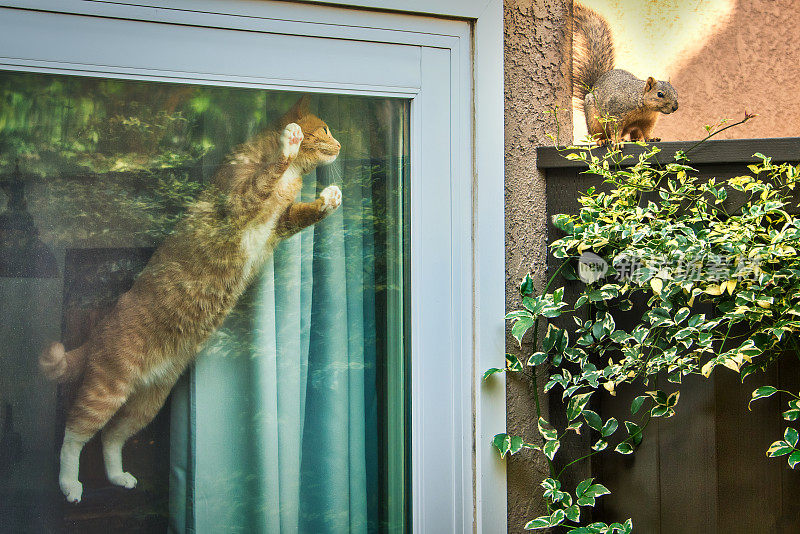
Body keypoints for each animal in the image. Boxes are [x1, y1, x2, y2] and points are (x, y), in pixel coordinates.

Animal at [39, 97, 340, 506]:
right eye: (324, 129)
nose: (340, 143)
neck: (291, 179)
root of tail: (98, 333)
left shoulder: (279, 225)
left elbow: (303, 213)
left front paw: (329, 199)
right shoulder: (239, 203)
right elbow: (264, 177)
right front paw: (288, 143)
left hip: (147, 403)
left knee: (111, 437)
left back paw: (118, 477)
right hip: (107, 389)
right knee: (74, 434)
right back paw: (70, 485)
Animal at [572, 4, 680, 146]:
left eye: (676, 93)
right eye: (660, 94)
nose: (675, 107)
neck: (644, 106)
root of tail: (593, 87)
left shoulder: (648, 120)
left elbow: (647, 131)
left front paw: (651, 138)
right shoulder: (615, 113)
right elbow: (615, 129)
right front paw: (617, 142)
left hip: (633, 128)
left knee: (635, 133)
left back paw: (635, 139)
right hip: (594, 120)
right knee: (599, 134)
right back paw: (603, 140)